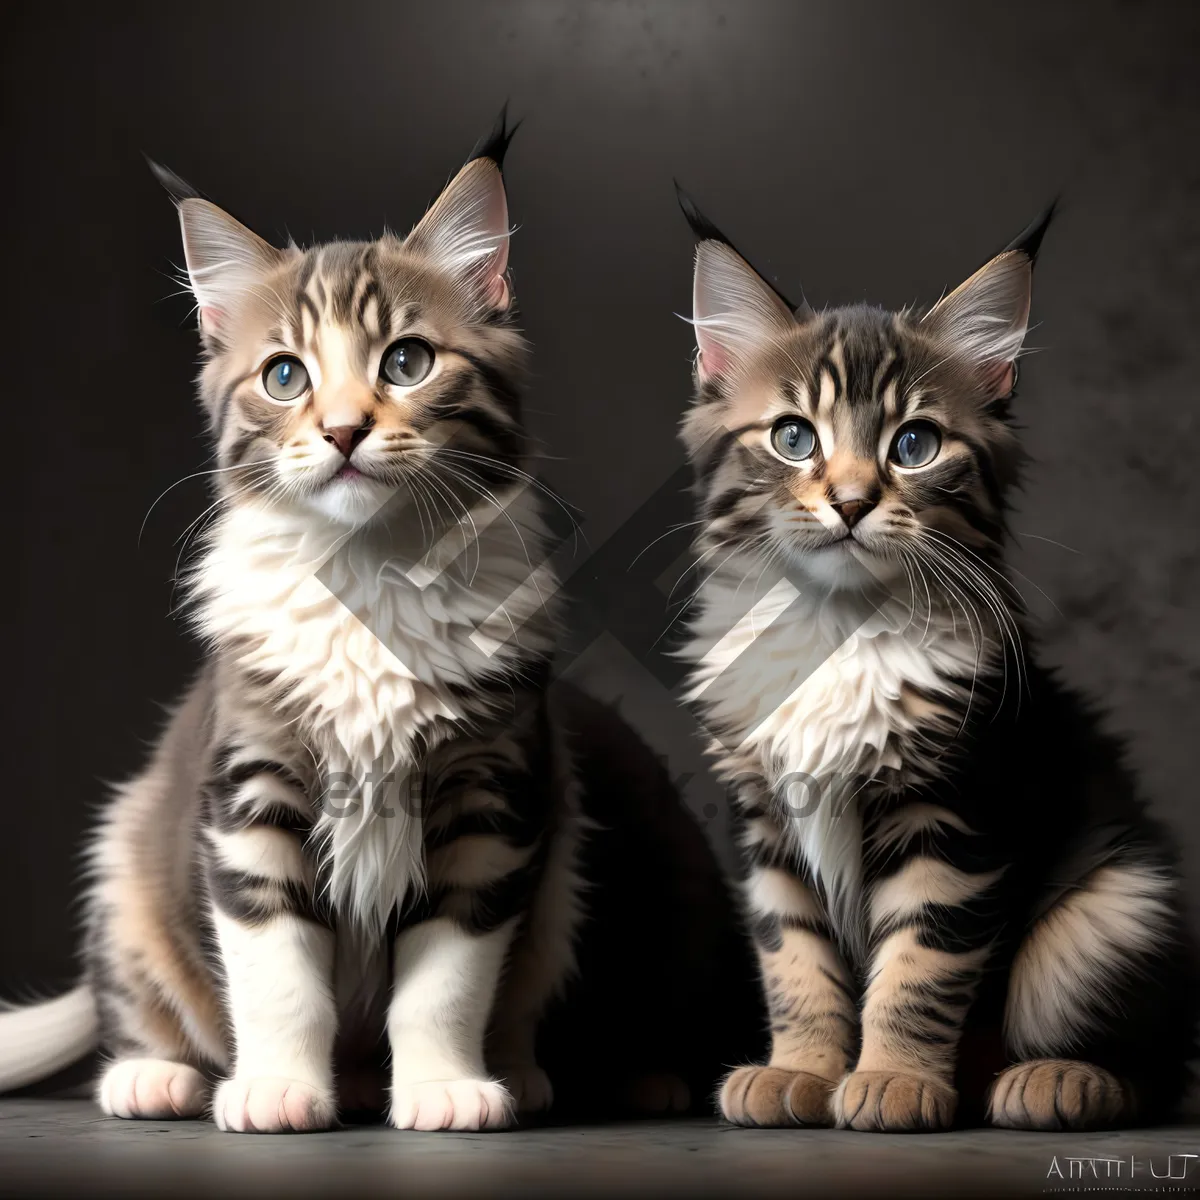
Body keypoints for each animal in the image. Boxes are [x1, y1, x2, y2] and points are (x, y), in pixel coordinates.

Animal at [681, 192, 1195, 1128]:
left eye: (914, 446)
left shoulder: (951, 814)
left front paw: (893, 1080)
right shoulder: (771, 829)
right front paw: (800, 1070)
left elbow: (918, 968)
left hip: (1110, 912)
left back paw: (1050, 1080)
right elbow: (794, 962)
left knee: (1151, 1070)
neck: (837, 625)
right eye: (793, 438)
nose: (851, 502)